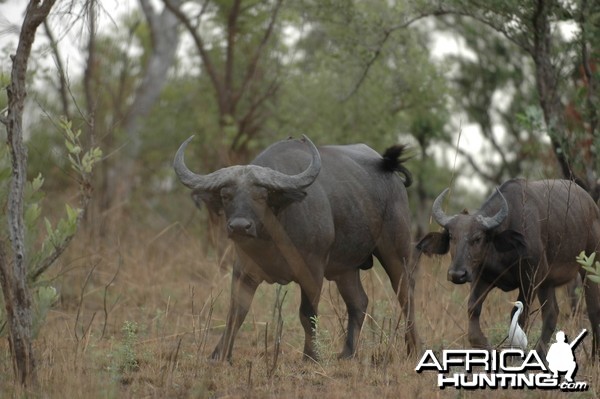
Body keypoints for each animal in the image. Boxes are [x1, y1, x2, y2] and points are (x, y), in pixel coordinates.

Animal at [171, 135, 420, 362]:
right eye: (225, 195)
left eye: (261, 195)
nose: (239, 226)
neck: (271, 238)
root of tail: (390, 172)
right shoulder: (243, 271)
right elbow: (236, 312)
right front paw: (219, 355)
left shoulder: (312, 272)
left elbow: (307, 314)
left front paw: (311, 356)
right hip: (345, 270)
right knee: (358, 302)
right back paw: (347, 354)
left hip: (396, 253)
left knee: (406, 296)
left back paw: (413, 350)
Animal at [418, 180, 600, 358]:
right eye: (451, 236)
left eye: (478, 238)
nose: (457, 274)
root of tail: (592, 205)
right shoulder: (481, 278)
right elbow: (472, 311)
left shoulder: (530, 281)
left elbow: (518, 317)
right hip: (547, 283)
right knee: (551, 314)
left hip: (589, 267)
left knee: (592, 310)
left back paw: (593, 356)